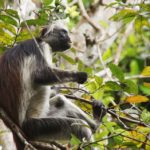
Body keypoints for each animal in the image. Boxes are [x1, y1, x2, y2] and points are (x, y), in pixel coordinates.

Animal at [0, 20, 105, 149]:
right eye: (64, 33)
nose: (70, 39)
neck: (41, 40)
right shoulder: (41, 47)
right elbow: (40, 75)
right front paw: (79, 75)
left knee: (61, 102)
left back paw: (96, 123)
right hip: (34, 127)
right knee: (78, 125)